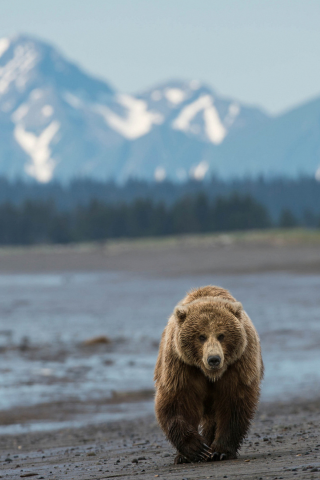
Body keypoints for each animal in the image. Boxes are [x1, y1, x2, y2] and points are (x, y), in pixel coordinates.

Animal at [154, 286, 262, 464]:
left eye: (222, 335)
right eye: (201, 336)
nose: (214, 359)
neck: (210, 374)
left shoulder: (238, 365)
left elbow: (234, 402)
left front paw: (219, 451)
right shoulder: (181, 366)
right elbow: (177, 400)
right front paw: (196, 448)